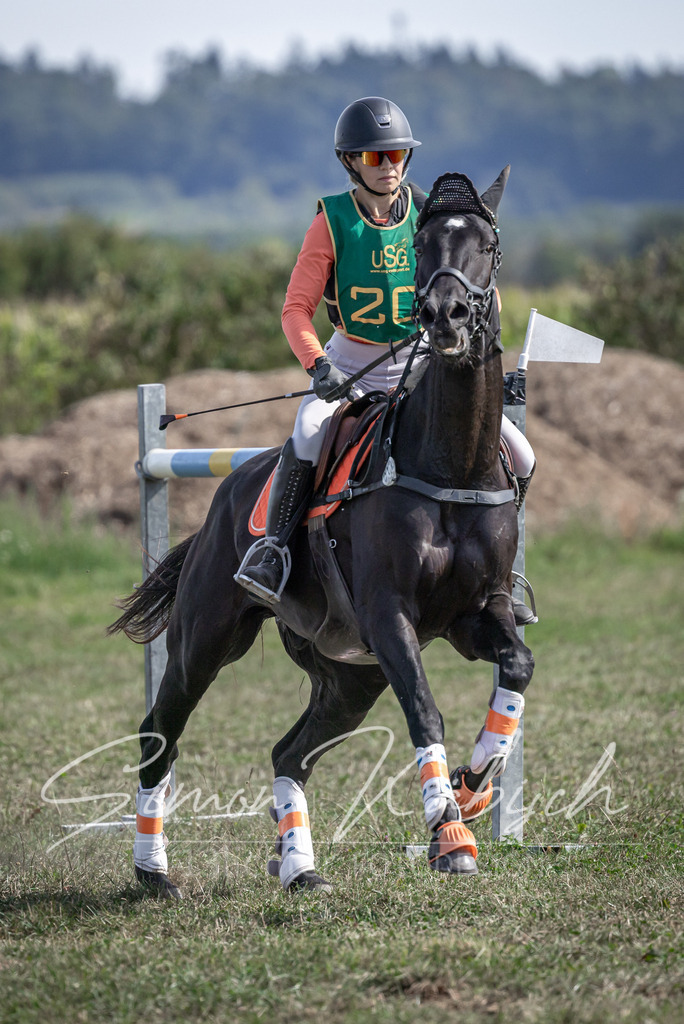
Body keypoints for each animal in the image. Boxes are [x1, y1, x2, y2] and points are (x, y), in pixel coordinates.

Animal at [109, 166, 534, 898]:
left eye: (488, 245)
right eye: (421, 246)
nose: (444, 315)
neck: (449, 461)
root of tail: (225, 496)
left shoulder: (477, 611)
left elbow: (517, 664)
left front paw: (474, 787)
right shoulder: (391, 617)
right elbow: (425, 709)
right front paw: (450, 836)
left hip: (349, 674)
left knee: (290, 754)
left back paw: (300, 867)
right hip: (206, 640)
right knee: (158, 731)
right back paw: (153, 870)